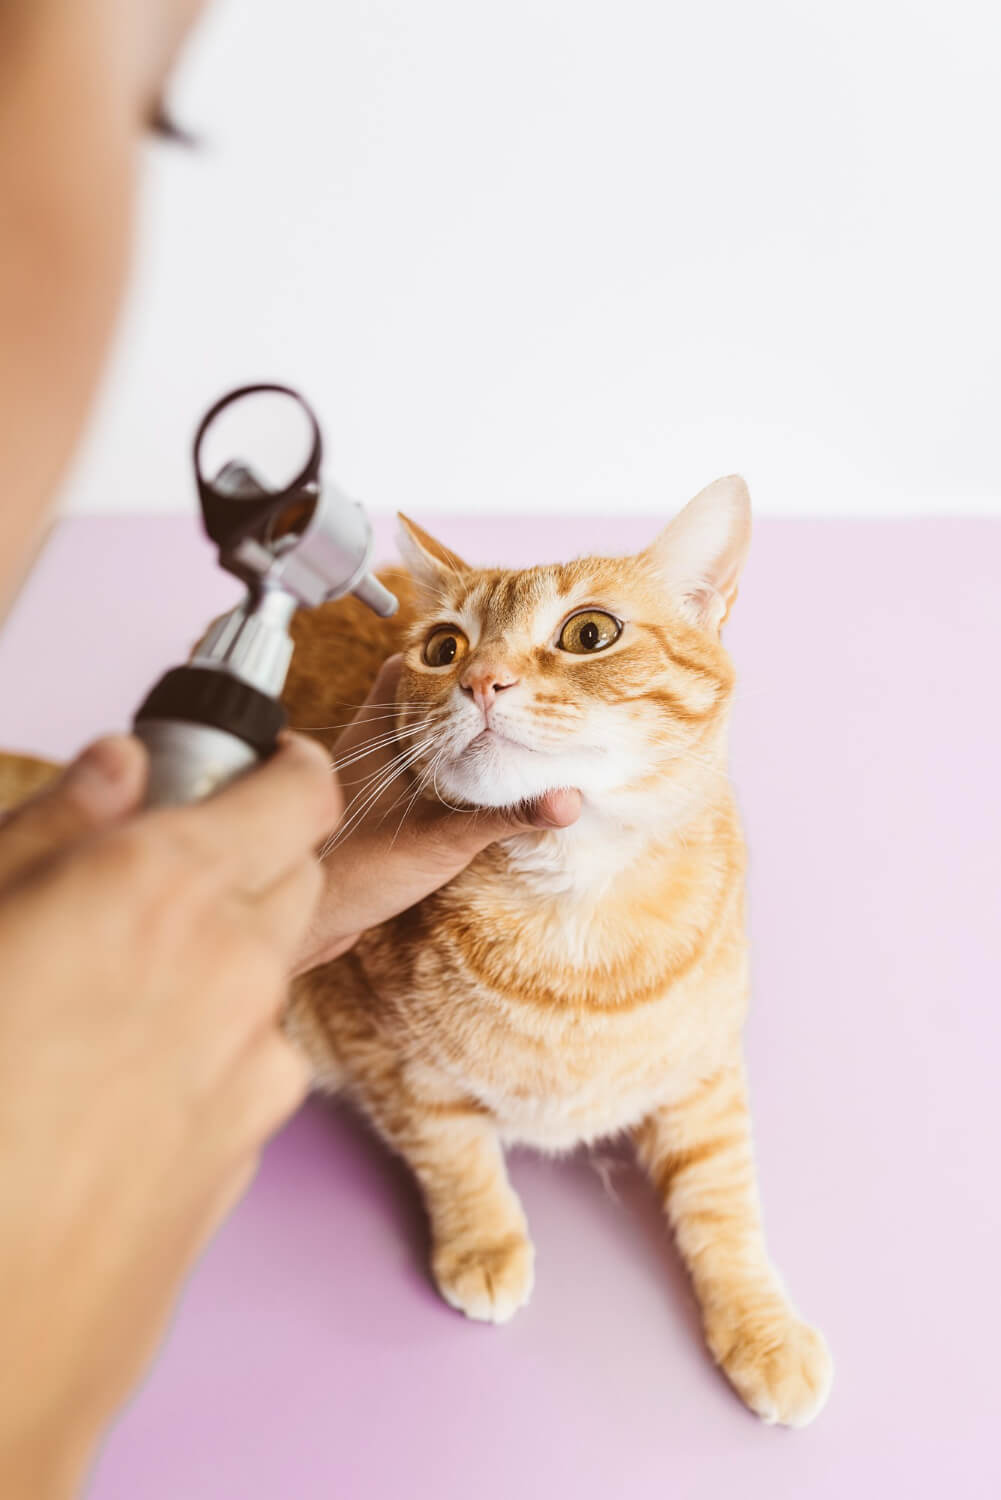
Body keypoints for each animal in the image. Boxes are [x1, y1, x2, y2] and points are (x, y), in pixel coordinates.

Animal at [285, 474, 834, 1422]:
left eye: (588, 633)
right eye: (442, 647)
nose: (479, 678)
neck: (574, 913)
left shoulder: (703, 1070)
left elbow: (723, 1196)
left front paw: (763, 1329)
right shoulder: (379, 1048)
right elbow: (450, 1148)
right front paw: (483, 1244)